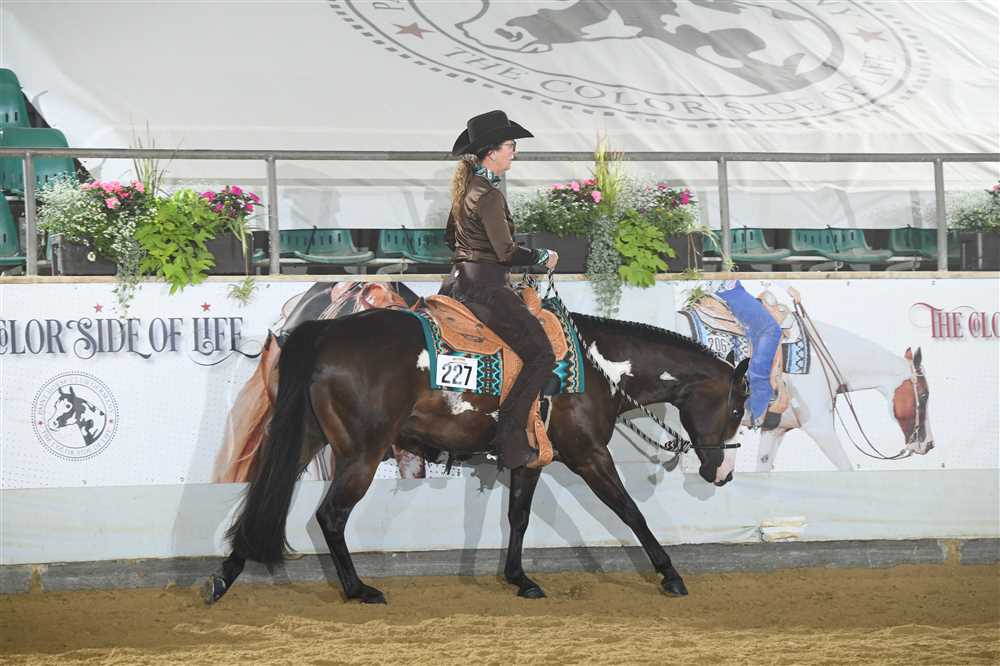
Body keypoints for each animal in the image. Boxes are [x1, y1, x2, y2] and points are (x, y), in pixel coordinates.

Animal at [203, 304, 750, 605]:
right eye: (738, 405)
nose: (723, 471)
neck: (595, 367)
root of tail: (327, 332)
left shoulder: (531, 458)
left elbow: (519, 517)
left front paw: (520, 579)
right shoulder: (588, 455)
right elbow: (631, 512)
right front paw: (670, 575)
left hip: (307, 439)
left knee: (263, 502)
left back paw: (223, 579)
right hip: (361, 454)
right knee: (330, 516)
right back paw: (359, 590)